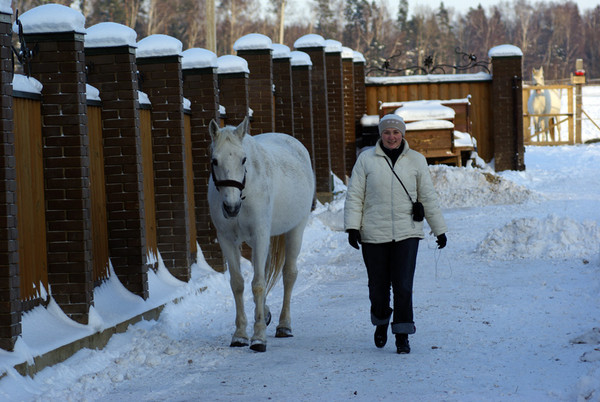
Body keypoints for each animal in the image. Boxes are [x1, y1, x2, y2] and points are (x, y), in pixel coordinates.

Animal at [209, 116, 316, 352]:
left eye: (243, 160)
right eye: (214, 160)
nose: (231, 207)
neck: (245, 192)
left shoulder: (260, 236)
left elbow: (257, 284)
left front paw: (258, 338)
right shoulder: (227, 239)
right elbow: (238, 283)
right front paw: (240, 335)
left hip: (295, 229)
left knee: (289, 274)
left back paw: (284, 325)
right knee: (266, 273)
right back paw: (266, 314)